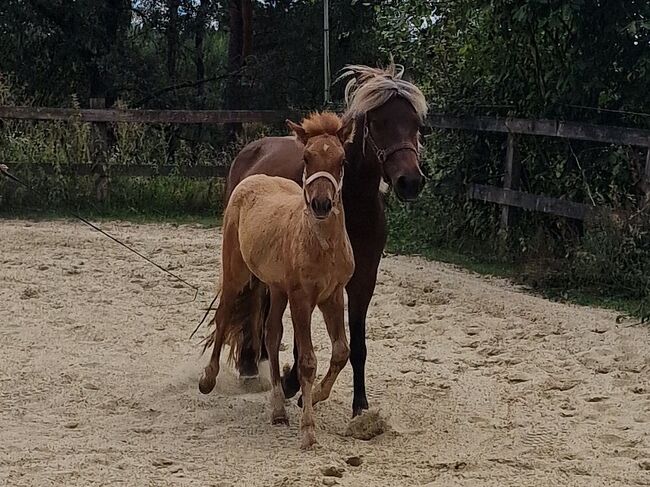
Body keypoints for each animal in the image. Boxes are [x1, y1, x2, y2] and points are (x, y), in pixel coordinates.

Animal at [200, 111, 356, 450]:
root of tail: (251, 179)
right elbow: (308, 360)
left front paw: (313, 398)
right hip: (237, 275)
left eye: (342, 159)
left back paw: (278, 411)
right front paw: (308, 429)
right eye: (307, 157)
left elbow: (341, 351)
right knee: (223, 317)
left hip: (274, 287)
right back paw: (207, 379)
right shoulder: (301, 298)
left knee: (271, 336)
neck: (320, 243)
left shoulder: (333, 296)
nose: (322, 205)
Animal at [225, 63, 428, 418]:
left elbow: (357, 345)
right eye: (378, 122)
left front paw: (360, 406)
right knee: (255, 305)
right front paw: (293, 384)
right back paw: (253, 367)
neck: (353, 207)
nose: (410, 181)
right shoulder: (304, 281)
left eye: (416, 124)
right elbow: (299, 340)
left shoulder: (363, 280)